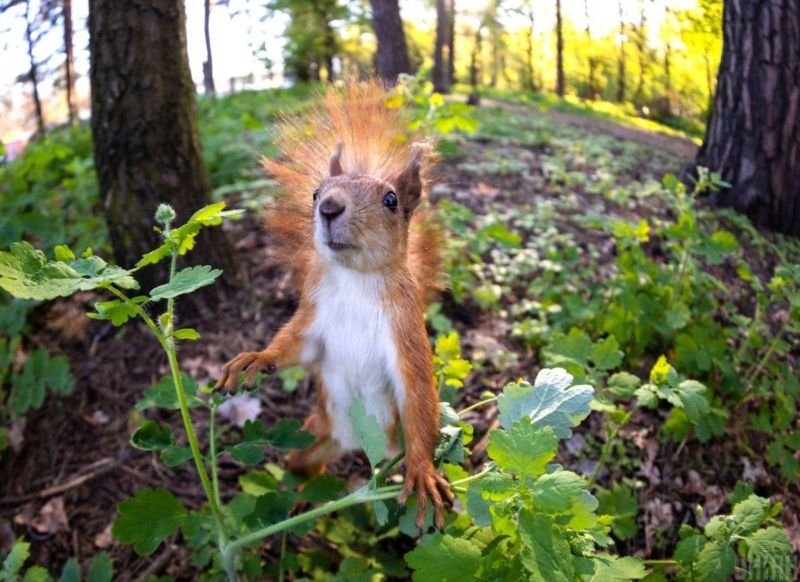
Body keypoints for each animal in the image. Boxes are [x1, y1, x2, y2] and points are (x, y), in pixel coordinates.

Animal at [217, 81, 456, 528]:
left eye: (391, 200)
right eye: (314, 194)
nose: (329, 208)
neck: (354, 280)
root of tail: (352, 444)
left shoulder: (405, 326)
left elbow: (417, 390)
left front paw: (423, 470)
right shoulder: (316, 314)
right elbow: (296, 346)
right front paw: (257, 357)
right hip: (313, 434)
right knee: (303, 467)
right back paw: (299, 501)